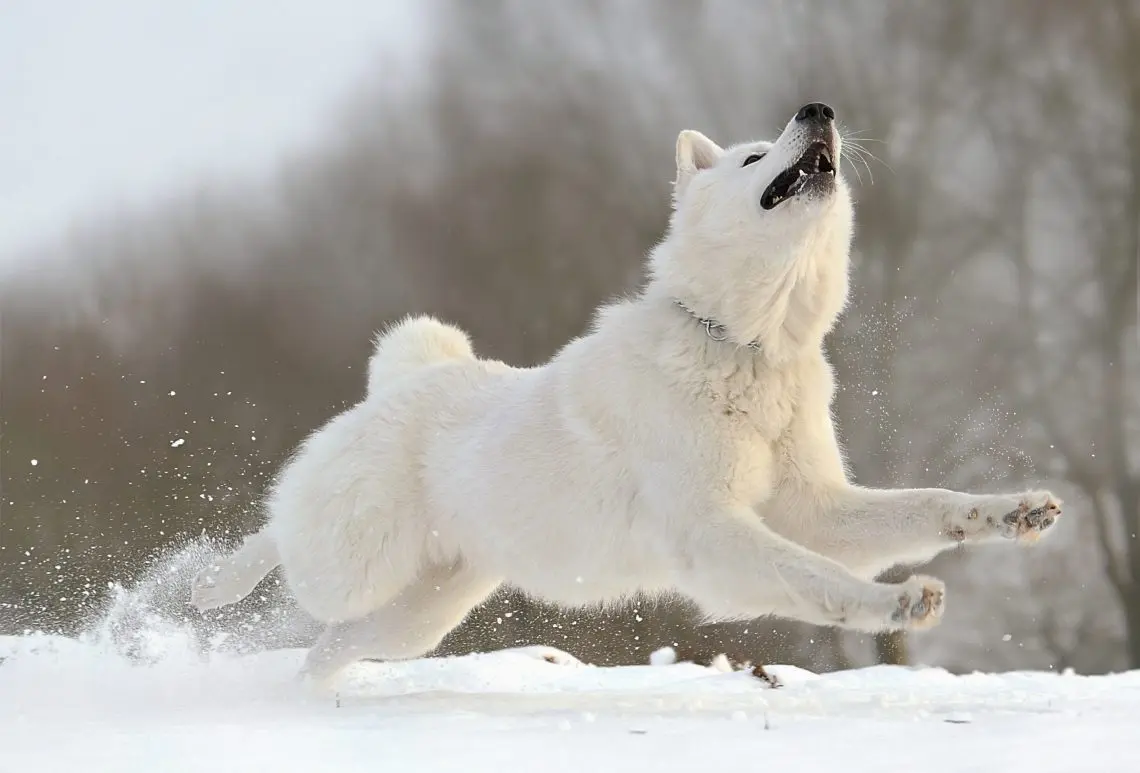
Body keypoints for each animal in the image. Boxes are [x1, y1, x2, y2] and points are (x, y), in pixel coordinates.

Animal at [193, 103, 1057, 684]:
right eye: (753, 156)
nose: (819, 107)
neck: (746, 345)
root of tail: (407, 380)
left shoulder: (813, 505)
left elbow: (927, 506)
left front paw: (1013, 512)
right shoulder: (714, 533)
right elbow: (817, 580)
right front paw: (900, 602)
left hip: (424, 612)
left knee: (326, 648)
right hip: (355, 564)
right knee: (279, 538)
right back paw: (206, 583)